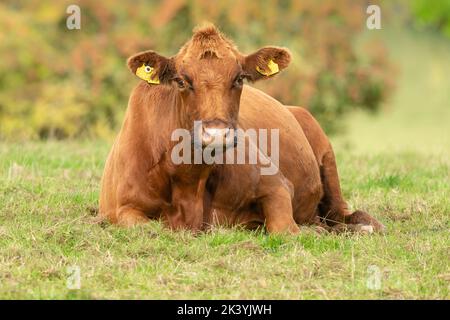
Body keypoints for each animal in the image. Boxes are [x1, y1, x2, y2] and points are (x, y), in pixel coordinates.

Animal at [99, 23, 384, 234]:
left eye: (238, 79)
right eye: (181, 81)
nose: (216, 134)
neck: (188, 179)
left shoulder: (276, 185)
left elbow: (285, 229)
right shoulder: (123, 208)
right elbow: (147, 228)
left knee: (343, 214)